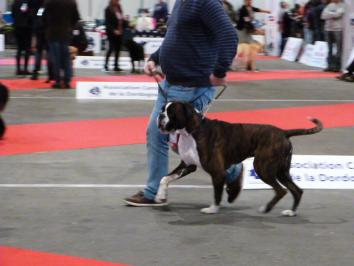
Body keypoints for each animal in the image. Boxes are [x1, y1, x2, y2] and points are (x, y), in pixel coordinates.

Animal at [156, 102, 322, 216]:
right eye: (163, 108)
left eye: (171, 112)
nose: (160, 115)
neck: (193, 130)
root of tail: (283, 132)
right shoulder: (188, 165)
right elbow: (164, 178)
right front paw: (159, 196)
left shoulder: (217, 173)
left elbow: (217, 193)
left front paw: (213, 209)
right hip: (281, 171)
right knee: (296, 190)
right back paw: (291, 212)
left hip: (263, 167)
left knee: (281, 190)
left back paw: (266, 208)